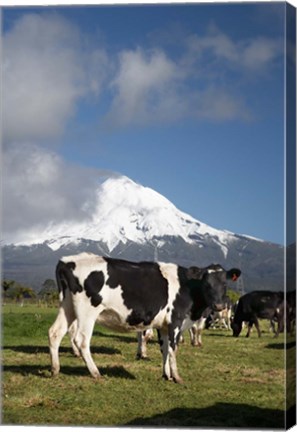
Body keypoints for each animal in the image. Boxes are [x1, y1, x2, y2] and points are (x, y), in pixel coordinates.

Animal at [47, 251, 239, 384]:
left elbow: (164, 348)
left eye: (225, 284)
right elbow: (173, 348)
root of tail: (67, 261)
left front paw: (166, 375)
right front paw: (177, 377)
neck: (188, 288)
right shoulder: (175, 321)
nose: (219, 306)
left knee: (55, 333)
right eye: (207, 283)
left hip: (67, 307)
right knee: (81, 339)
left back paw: (55, 369)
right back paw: (95, 372)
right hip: (87, 312)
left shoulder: (163, 325)